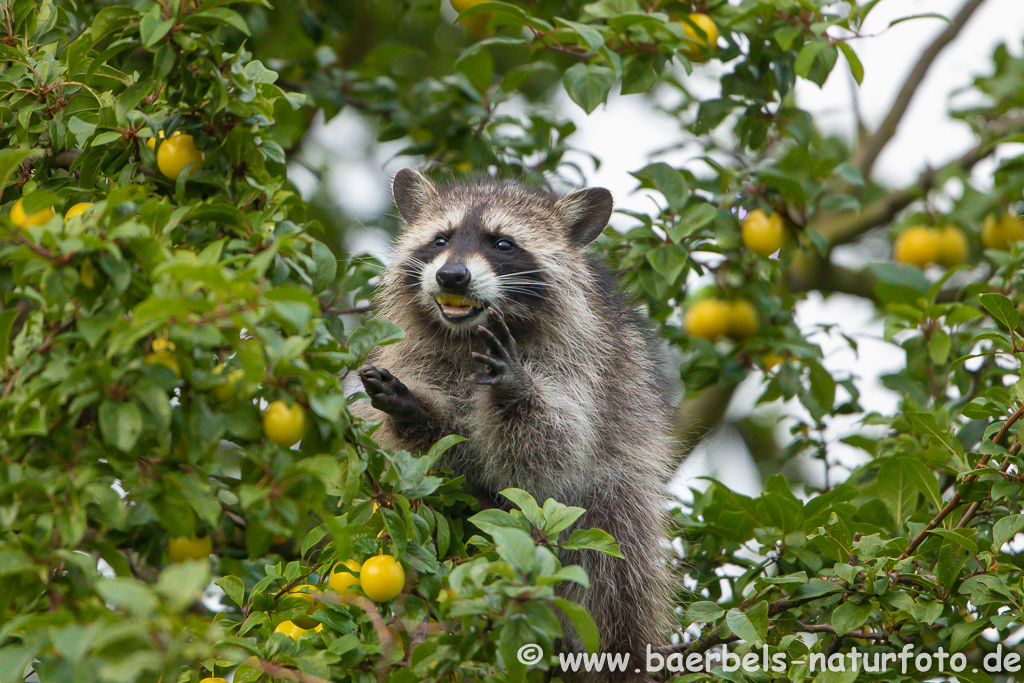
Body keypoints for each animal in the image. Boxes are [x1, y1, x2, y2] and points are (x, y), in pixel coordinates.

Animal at [356, 167, 675, 679]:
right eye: (441, 238)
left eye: (502, 244)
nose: (451, 274)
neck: (468, 336)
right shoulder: (414, 355)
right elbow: (433, 459)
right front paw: (415, 410)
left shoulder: (584, 364)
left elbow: (551, 451)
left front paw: (514, 390)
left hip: (615, 505)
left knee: (615, 568)